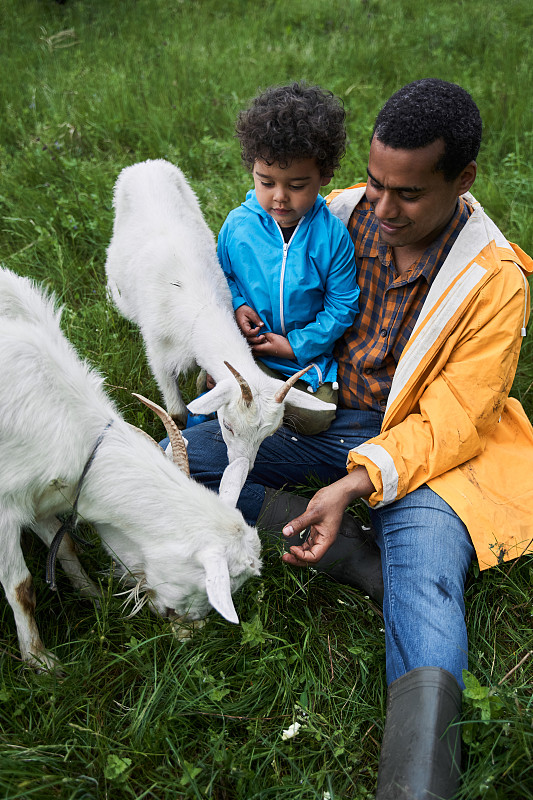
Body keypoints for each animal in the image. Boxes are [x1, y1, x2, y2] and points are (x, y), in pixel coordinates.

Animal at [0, 268, 260, 668]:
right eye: (213, 584)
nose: (191, 628)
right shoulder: (5, 512)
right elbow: (21, 587)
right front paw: (40, 660)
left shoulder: (42, 497)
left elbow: (65, 547)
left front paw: (92, 595)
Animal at [106, 159, 334, 504]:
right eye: (227, 425)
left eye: (269, 434)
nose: (243, 467)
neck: (201, 309)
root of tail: (146, 164)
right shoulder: (158, 354)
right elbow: (177, 413)